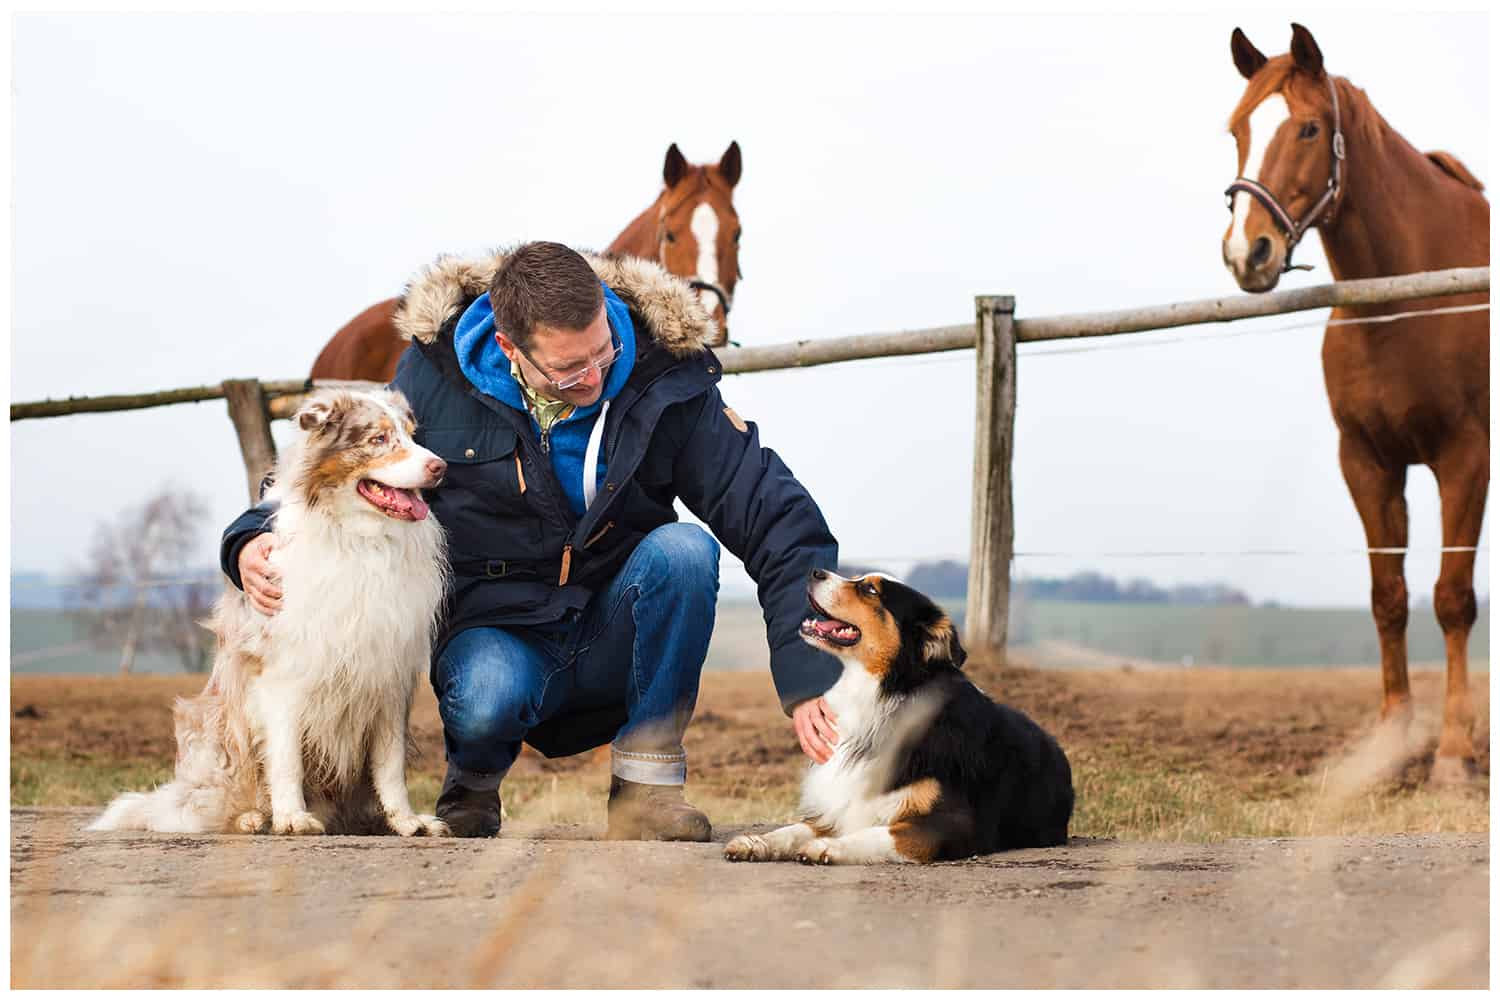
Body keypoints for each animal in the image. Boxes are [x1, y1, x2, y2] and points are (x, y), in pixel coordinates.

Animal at [1224, 23, 1482, 779]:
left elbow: (1452, 597)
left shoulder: (1466, 457)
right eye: (1237, 129)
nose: (1247, 253)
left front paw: (1453, 755)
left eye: (1309, 128)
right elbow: (1387, 598)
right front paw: (1391, 748)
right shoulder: (1367, 462)